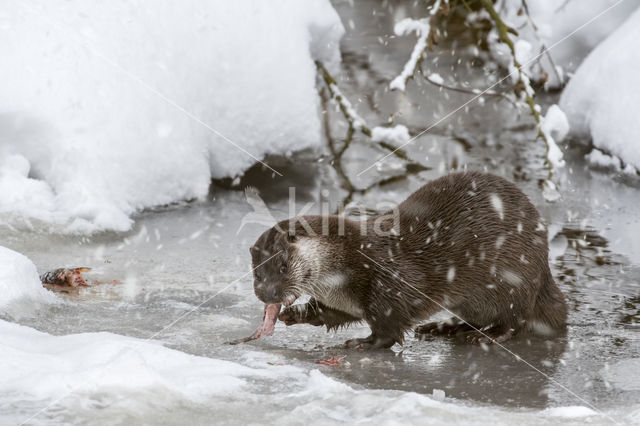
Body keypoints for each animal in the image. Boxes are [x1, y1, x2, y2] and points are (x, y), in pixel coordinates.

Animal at [248, 171, 568, 350]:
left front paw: (362, 343)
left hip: (513, 280)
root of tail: (544, 266)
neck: (348, 264)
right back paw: (442, 328)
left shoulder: (390, 285)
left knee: (516, 320)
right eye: (256, 275)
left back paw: (487, 337)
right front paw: (295, 314)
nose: (268, 294)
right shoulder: (344, 301)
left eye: (283, 266)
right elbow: (334, 315)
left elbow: (388, 330)